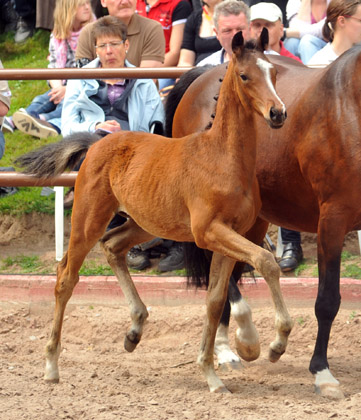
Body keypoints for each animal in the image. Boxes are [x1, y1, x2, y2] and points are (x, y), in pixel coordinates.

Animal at [17, 30, 292, 394]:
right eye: (246, 76)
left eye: (273, 72)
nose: (278, 113)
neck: (224, 158)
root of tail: (97, 142)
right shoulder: (209, 232)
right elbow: (266, 262)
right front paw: (275, 344)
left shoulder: (228, 235)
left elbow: (215, 299)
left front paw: (212, 374)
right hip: (89, 219)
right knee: (66, 277)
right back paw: (51, 366)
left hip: (146, 223)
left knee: (113, 246)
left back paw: (135, 329)